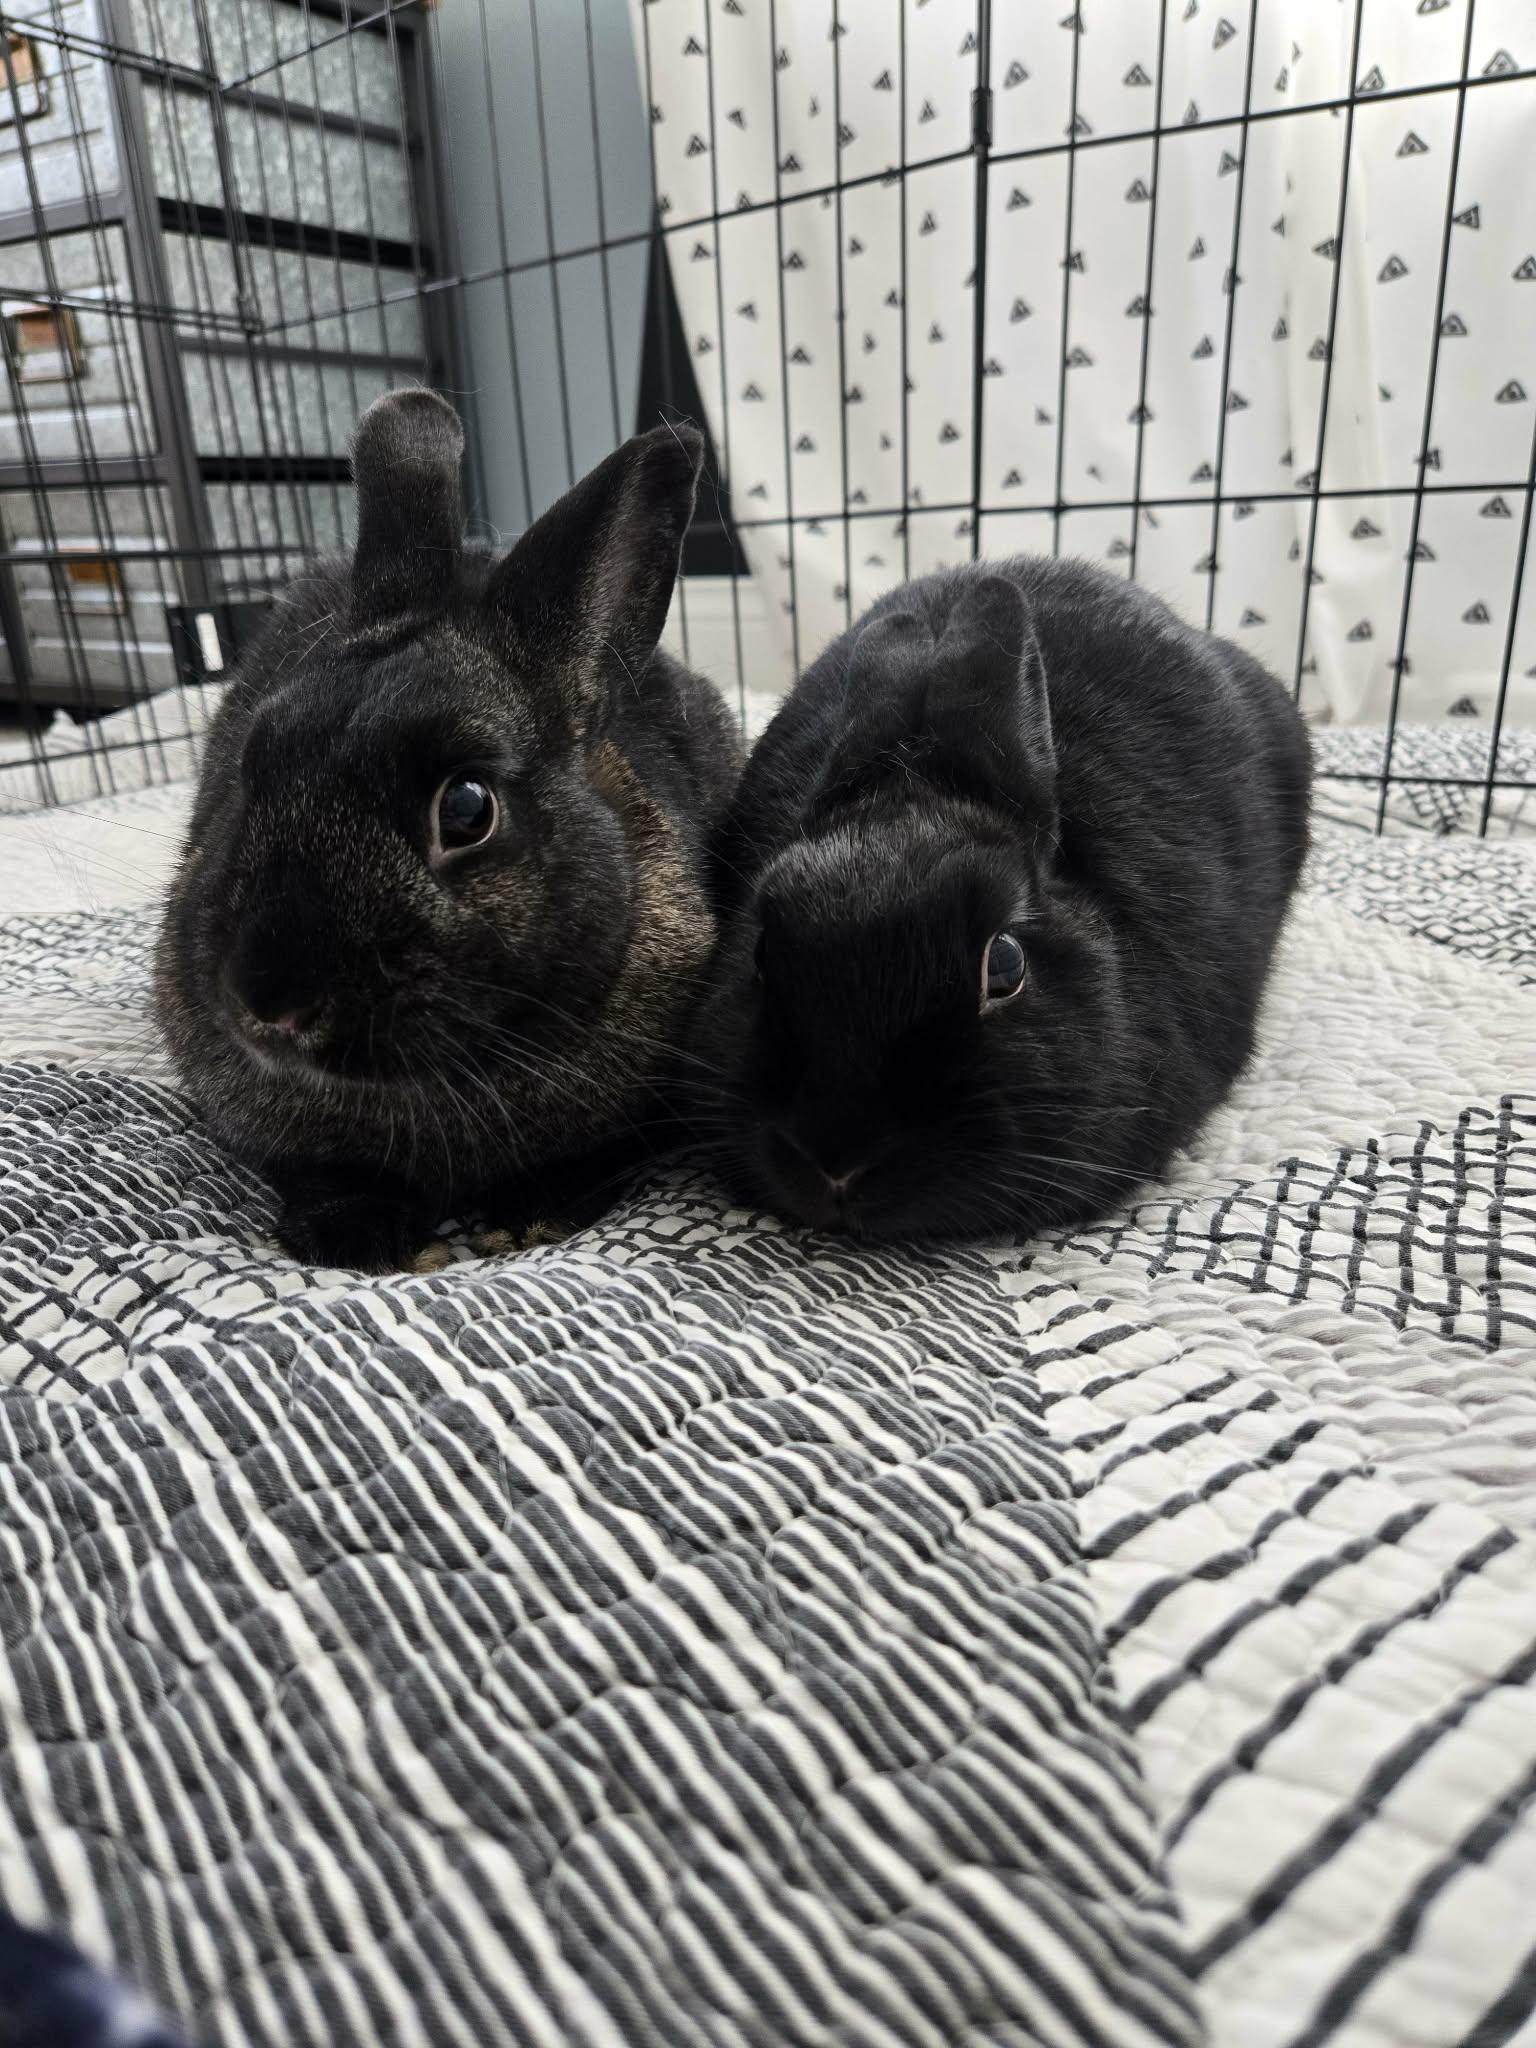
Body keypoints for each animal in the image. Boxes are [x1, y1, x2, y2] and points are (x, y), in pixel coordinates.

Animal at [156, 389, 743, 1270]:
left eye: (467, 810)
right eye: (250, 770)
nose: (271, 1003)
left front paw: (528, 1217)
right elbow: (320, 1173)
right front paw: (356, 1238)